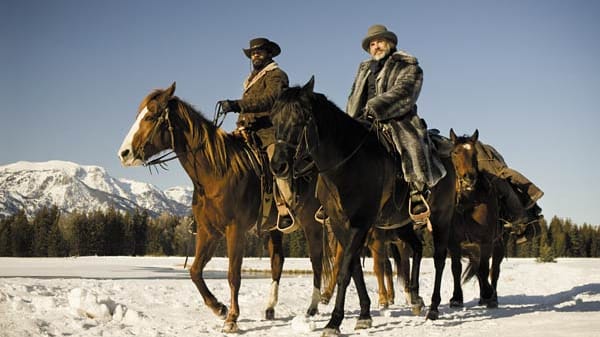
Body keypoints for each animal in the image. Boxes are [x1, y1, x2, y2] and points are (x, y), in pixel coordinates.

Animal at [117, 83, 332, 330]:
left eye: (151, 116)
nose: (124, 153)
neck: (216, 172)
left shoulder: (234, 230)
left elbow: (233, 275)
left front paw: (232, 319)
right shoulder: (208, 231)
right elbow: (195, 271)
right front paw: (218, 308)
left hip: (312, 224)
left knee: (317, 260)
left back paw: (313, 307)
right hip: (275, 230)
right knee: (278, 262)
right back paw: (270, 308)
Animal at [270, 77, 458, 334]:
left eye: (302, 118)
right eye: (274, 119)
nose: (278, 165)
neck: (346, 165)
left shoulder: (360, 224)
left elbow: (345, 271)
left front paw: (334, 322)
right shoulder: (340, 225)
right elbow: (354, 270)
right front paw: (364, 314)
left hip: (441, 217)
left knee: (439, 258)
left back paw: (433, 308)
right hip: (401, 224)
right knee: (418, 248)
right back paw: (415, 298)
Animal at [450, 128, 506, 308]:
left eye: (475, 153)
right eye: (455, 152)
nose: (469, 177)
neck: (468, 204)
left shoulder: (486, 241)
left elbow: (484, 269)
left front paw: (488, 294)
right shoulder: (453, 243)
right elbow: (456, 269)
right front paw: (456, 298)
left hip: (499, 245)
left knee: (493, 270)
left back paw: (492, 297)